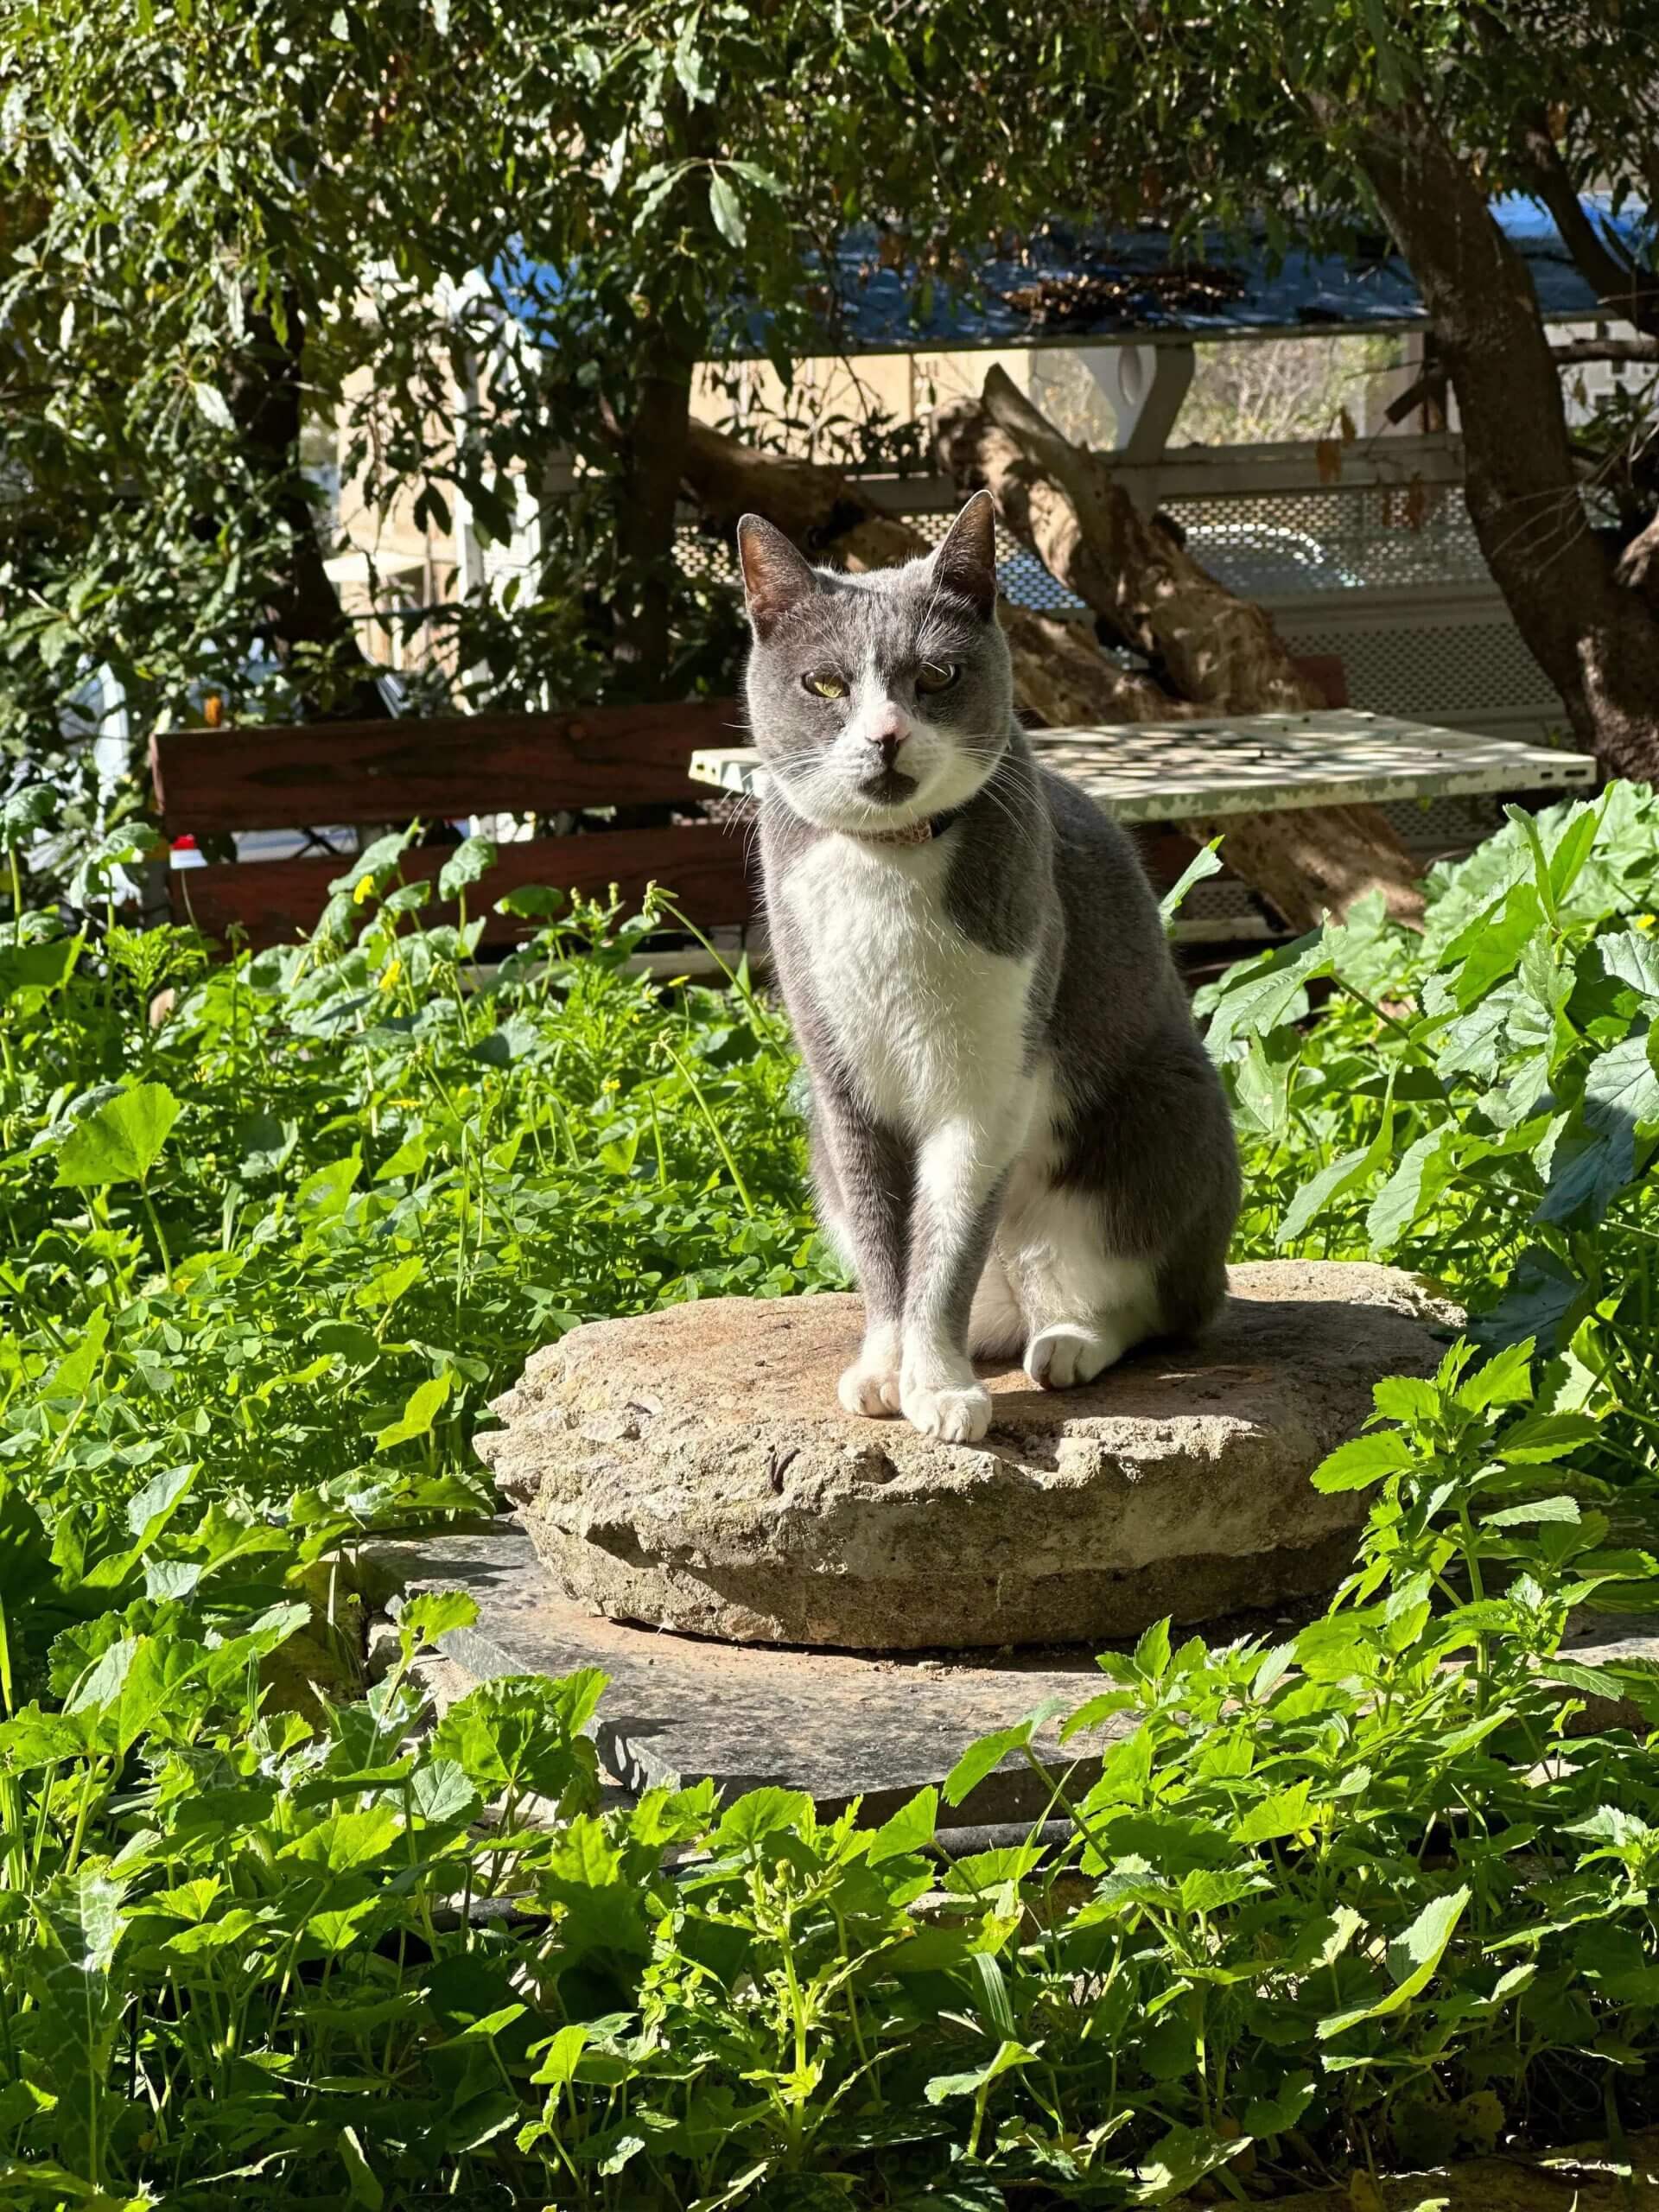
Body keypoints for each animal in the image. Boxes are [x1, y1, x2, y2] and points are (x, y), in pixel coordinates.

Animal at [743, 493, 1247, 1442]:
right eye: (825, 684)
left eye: (936, 677)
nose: (887, 735)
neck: (889, 867)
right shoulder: (842, 1087)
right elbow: (885, 1245)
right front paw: (886, 1368)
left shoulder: (987, 1085)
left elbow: (943, 1250)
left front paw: (937, 1388)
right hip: (814, 1143)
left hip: (1166, 1111)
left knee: (1158, 1301)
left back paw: (1068, 1343)